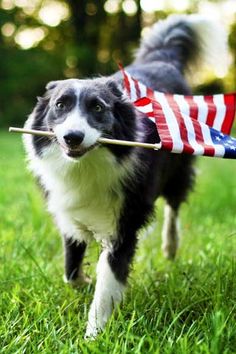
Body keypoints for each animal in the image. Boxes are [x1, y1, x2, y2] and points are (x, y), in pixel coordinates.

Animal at [23, 15, 227, 338]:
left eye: (97, 107)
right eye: (60, 105)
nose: (72, 137)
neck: (87, 164)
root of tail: (161, 59)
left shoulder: (124, 222)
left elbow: (108, 283)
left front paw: (93, 336)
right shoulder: (69, 210)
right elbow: (70, 269)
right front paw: (84, 282)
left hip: (179, 168)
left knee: (174, 206)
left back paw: (170, 246)